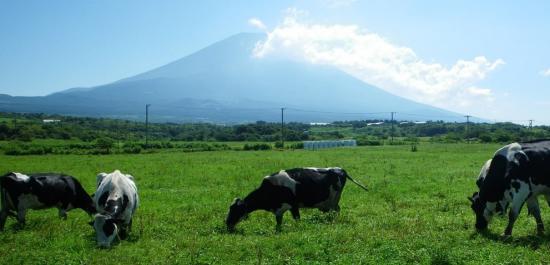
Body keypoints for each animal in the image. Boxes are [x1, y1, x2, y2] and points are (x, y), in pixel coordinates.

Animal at [226, 166, 368, 230]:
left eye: (235, 210)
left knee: (336, 211)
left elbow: (297, 219)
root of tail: (340, 169)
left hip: (334, 200)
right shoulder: (279, 210)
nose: (227, 223)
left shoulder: (293, 205)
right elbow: (279, 222)